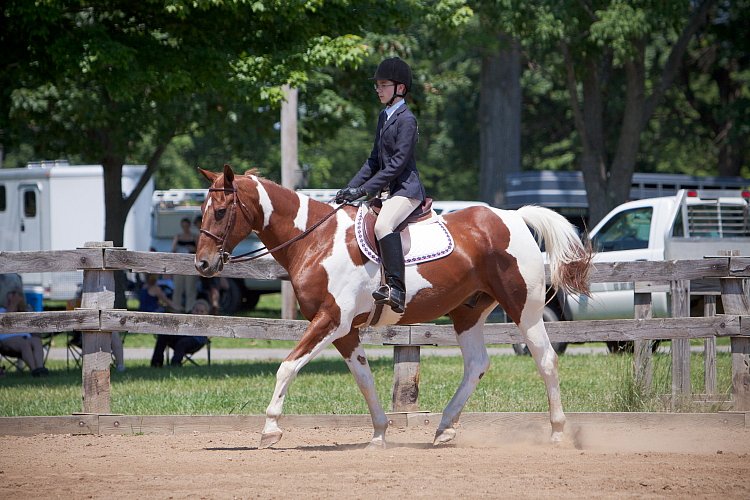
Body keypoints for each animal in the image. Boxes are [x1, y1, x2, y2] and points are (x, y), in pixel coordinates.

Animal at [194, 165, 592, 450]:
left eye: (221, 211)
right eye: (202, 210)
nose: (203, 264)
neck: (315, 240)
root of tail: (513, 217)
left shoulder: (330, 321)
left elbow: (287, 366)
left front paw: (270, 429)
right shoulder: (345, 332)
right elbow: (365, 379)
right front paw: (379, 434)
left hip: (524, 309)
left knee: (545, 359)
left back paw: (557, 433)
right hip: (467, 313)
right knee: (477, 364)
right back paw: (445, 428)